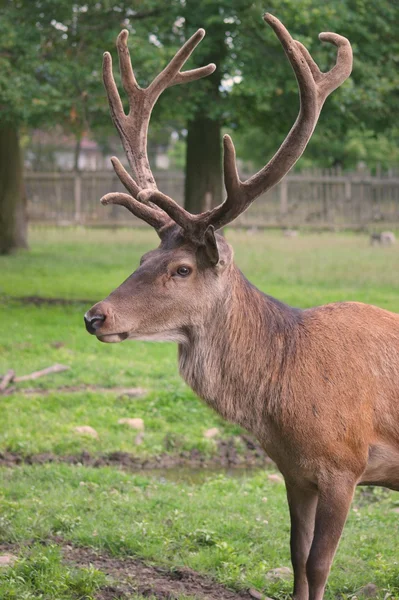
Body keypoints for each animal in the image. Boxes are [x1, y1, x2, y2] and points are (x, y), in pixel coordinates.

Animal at [85, 14, 399, 600]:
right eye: (142, 256)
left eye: (182, 268)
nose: (95, 315)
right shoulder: (294, 471)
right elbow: (296, 558)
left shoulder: (346, 464)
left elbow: (320, 565)